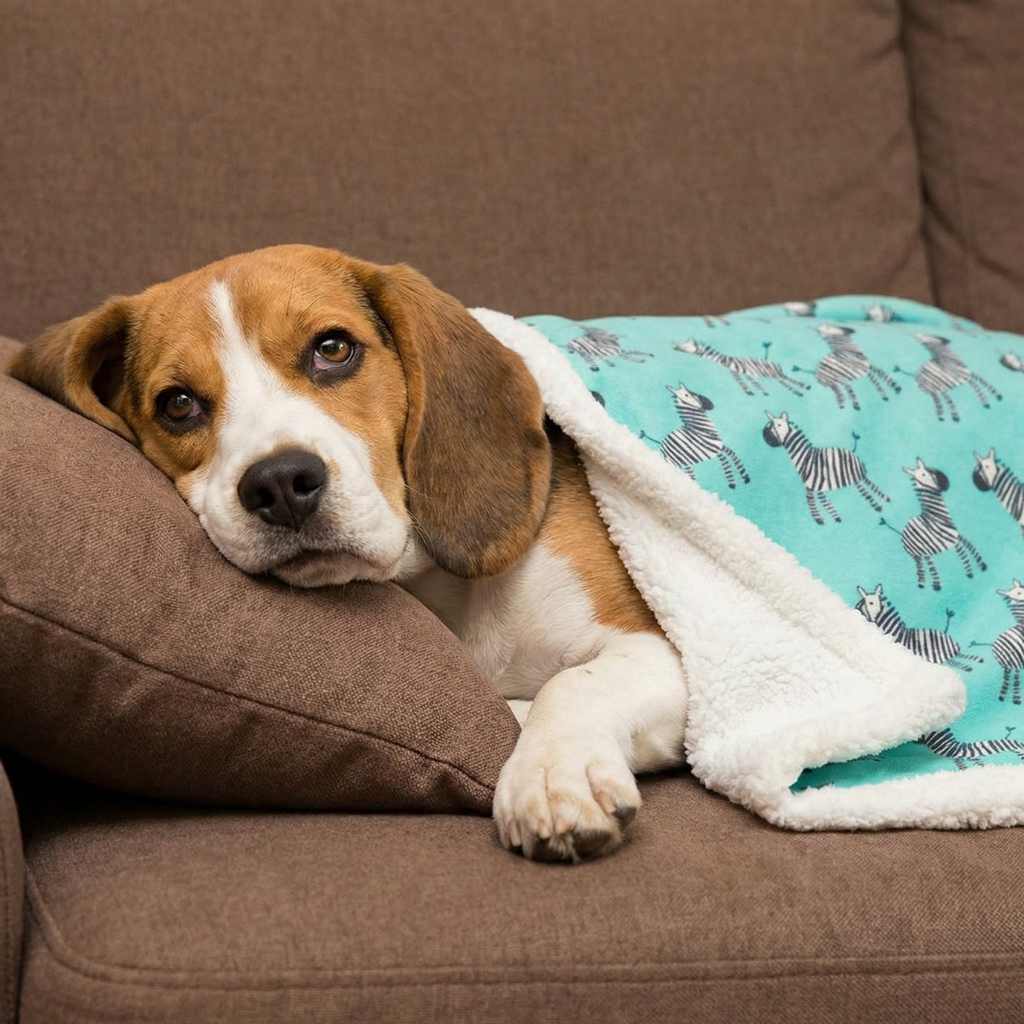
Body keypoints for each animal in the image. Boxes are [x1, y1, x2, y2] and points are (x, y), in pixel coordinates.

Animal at [674, 338, 810, 397]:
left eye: (685, 346)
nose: (673, 346)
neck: (725, 361)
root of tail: (776, 364)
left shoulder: (743, 372)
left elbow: (748, 383)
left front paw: (756, 392)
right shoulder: (739, 372)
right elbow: (747, 383)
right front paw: (755, 391)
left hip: (777, 373)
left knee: (790, 380)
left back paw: (804, 388)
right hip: (774, 376)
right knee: (784, 382)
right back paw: (797, 392)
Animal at [885, 459, 986, 591]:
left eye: (929, 469)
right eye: (924, 474)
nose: (945, 481)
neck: (936, 516)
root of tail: (902, 533)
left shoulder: (955, 537)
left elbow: (966, 545)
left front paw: (979, 566)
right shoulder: (950, 539)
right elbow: (963, 551)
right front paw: (971, 570)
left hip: (921, 553)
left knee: (924, 565)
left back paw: (926, 583)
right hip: (920, 551)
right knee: (926, 566)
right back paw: (934, 584)